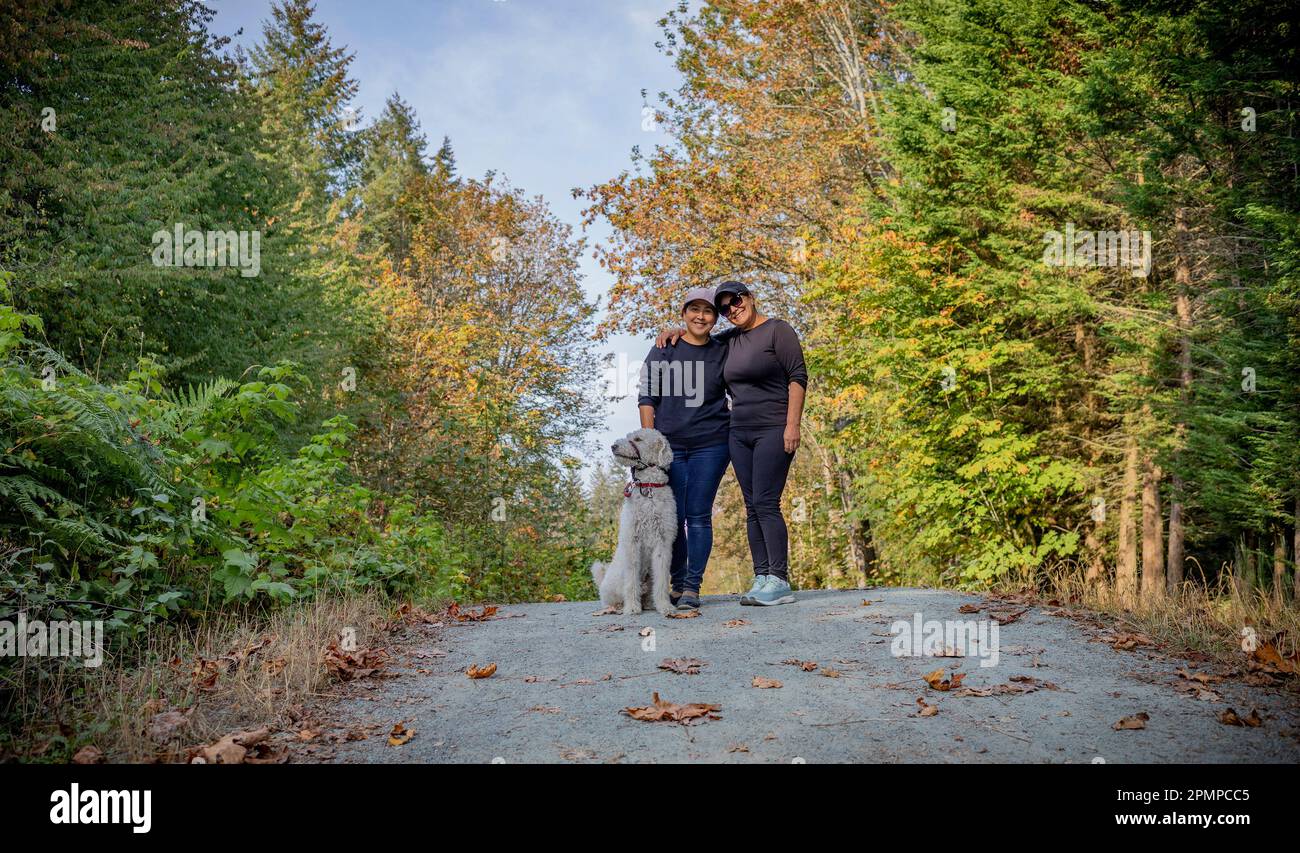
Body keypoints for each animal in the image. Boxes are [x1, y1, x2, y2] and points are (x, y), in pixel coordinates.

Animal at [592, 429, 681, 616]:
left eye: (638, 439)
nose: (613, 446)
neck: (649, 487)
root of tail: (602, 582)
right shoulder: (632, 542)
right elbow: (631, 579)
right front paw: (632, 607)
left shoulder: (663, 543)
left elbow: (662, 579)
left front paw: (665, 606)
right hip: (613, 587)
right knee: (611, 601)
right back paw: (620, 607)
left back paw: (649, 604)